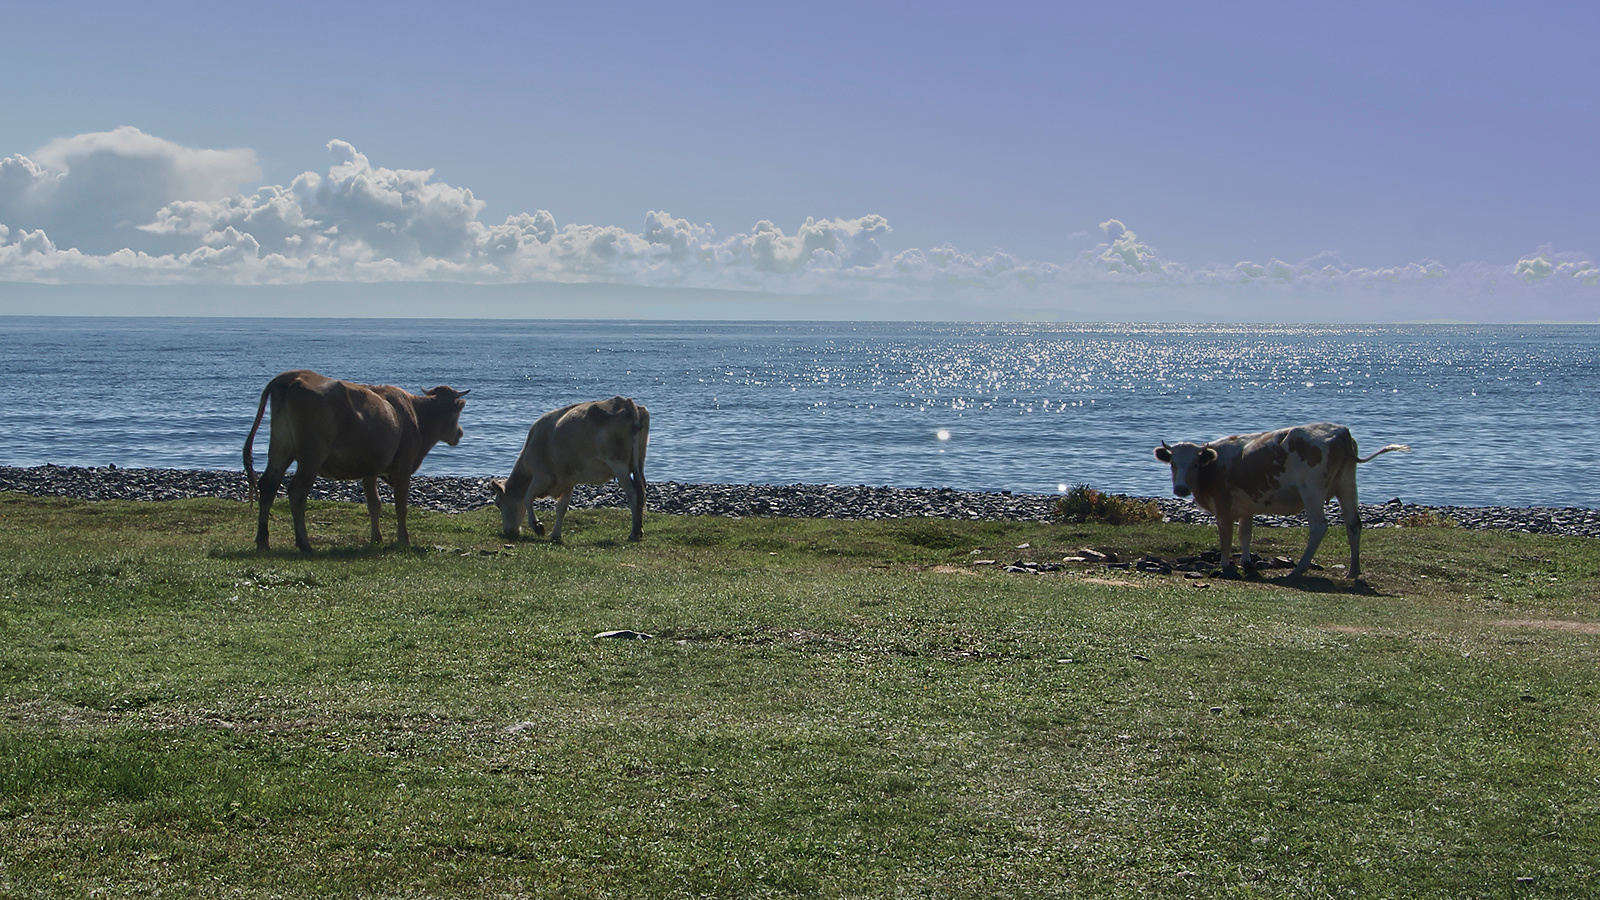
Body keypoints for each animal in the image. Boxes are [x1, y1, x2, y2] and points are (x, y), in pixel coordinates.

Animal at [243, 370, 469, 553]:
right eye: (457, 412)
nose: (460, 433)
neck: (415, 415)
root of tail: (292, 376)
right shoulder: (403, 466)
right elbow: (400, 505)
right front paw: (404, 540)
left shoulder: (370, 468)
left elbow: (374, 504)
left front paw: (376, 538)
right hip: (311, 455)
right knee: (297, 492)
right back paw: (304, 543)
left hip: (280, 448)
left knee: (269, 485)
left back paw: (263, 541)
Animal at [490, 396, 649, 543]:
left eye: (498, 504)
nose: (508, 532)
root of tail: (626, 402)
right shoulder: (567, 479)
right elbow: (562, 507)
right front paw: (555, 534)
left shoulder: (542, 476)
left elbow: (527, 498)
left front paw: (537, 527)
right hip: (638, 463)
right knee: (641, 491)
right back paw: (639, 531)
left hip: (618, 463)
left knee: (633, 494)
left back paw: (634, 534)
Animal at [1154, 422, 1410, 579]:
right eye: (1173, 463)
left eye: (1195, 464)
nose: (1181, 488)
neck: (1213, 466)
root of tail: (1340, 431)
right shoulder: (1247, 506)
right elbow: (1245, 534)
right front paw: (1246, 562)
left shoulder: (1223, 506)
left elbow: (1226, 537)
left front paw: (1225, 565)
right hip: (1347, 485)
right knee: (1353, 524)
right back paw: (1353, 571)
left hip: (1311, 491)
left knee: (1319, 527)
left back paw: (1298, 570)